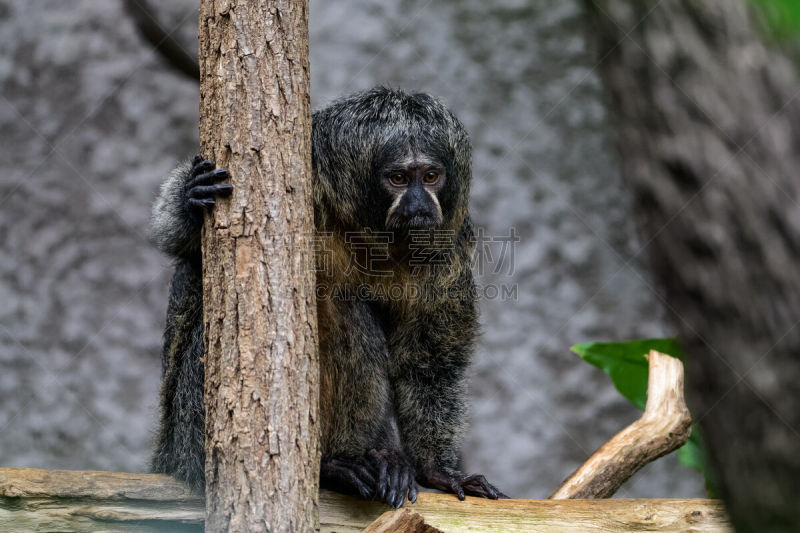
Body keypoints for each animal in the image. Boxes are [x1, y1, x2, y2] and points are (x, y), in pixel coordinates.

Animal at [148, 85, 506, 504]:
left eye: (431, 176)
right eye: (399, 178)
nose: (419, 206)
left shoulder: (449, 249)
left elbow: (428, 362)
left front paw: (438, 470)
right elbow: (181, 245)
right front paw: (190, 196)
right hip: (185, 437)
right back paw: (333, 467)